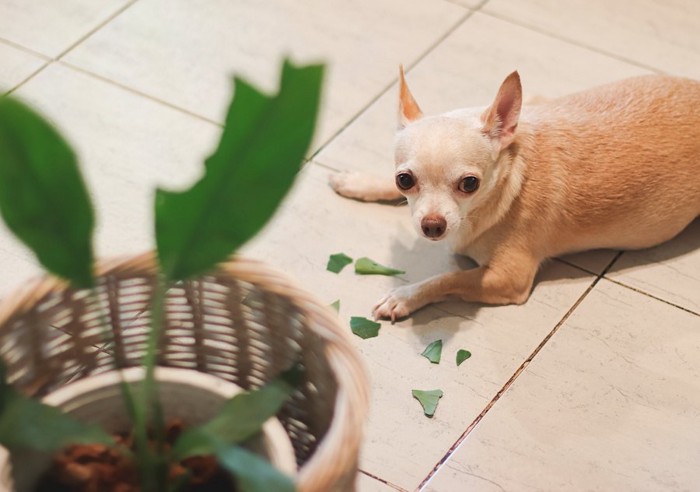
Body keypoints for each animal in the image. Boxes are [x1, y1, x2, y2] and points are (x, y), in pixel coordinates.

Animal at [330, 69, 700, 320]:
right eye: (404, 180)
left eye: (469, 184)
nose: (432, 225)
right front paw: (359, 182)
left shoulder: (507, 279)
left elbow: (447, 278)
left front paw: (404, 296)